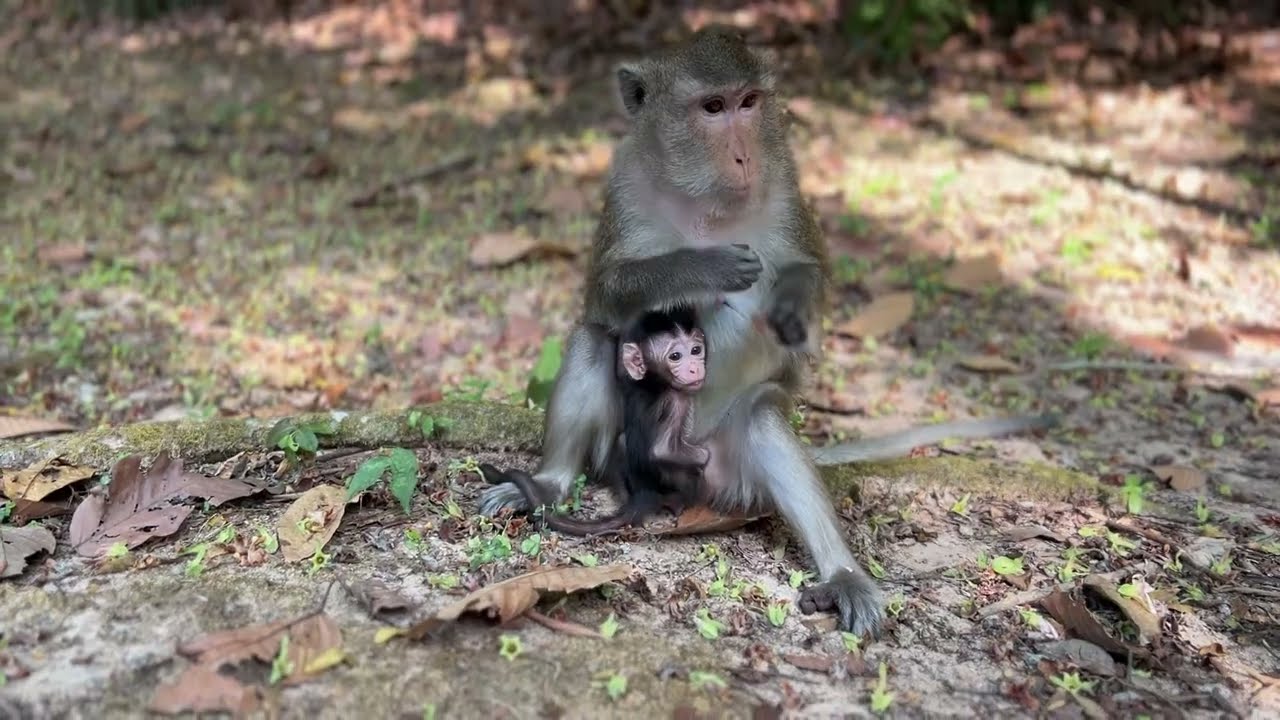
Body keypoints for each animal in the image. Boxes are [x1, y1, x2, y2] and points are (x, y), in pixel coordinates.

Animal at [480, 305, 710, 536]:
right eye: (675, 356)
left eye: (696, 350)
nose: (694, 368)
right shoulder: (676, 400)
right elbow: (663, 449)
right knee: (593, 338)